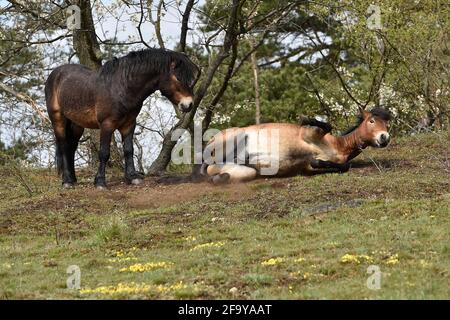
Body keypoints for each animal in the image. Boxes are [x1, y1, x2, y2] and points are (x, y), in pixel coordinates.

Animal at [45, 47, 199, 188]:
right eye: (178, 78)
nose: (188, 104)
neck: (122, 87)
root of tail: (55, 73)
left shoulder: (129, 124)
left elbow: (128, 150)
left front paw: (132, 177)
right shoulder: (107, 125)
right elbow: (104, 153)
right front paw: (100, 182)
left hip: (77, 124)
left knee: (71, 147)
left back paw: (72, 179)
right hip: (58, 119)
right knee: (63, 145)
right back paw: (67, 182)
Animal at [200, 108, 390, 184]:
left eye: (388, 124)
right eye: (372, 121)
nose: (384, 137)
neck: (338, 145)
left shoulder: (308, 167)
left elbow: (340, 166)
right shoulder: (308, 135)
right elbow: (326, 125)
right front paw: (306, 119)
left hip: (245, 172)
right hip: (234, 138)